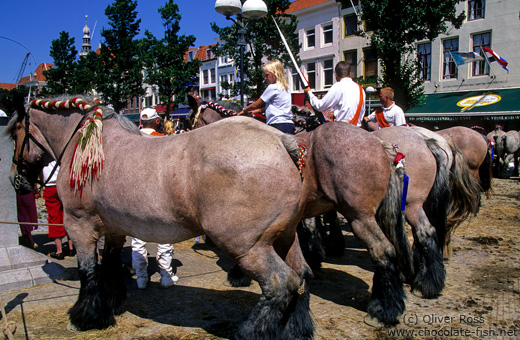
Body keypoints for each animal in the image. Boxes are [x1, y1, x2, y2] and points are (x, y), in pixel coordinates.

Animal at [6, 95, 312, 340]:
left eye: (14, 133)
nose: (14, 180)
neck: (87, 145)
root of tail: (281, 141)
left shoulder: (79, 226)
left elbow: (88, 271)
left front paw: (86, 316)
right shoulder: (115, 228)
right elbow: (110, 265)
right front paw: (111, 302)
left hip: (248, 247)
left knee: (281, 283)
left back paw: (248, 331)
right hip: (285, 237)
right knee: (300, 275)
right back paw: (296, 329)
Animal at [189, 97, 412, 326]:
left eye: (192, 120)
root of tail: (380, 144)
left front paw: (238, 275)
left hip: (359, 217)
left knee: (383, 250)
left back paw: (383, 309)